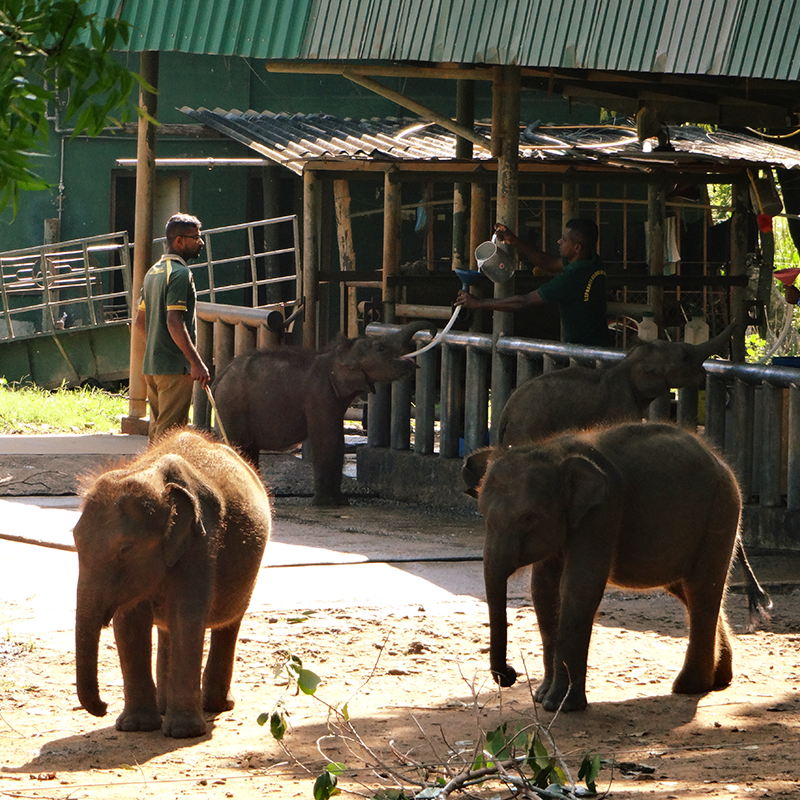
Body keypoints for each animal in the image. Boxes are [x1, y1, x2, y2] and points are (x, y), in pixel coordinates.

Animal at [73, 429, 271, 739]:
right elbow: (129, 624)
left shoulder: (201, 544)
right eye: (74, 540)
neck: (150, 474)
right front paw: (135, 727)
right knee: (166, 628)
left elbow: (186, 618)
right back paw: (164, 707)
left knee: (229, 623)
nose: (103, 707)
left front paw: (183, 732)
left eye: (125, 549)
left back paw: (215, 706)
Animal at [210, 320, 435, 506]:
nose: (433, 331)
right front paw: (331, 504)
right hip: (232, 406)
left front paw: (341, 502)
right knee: (241, 447)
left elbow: (337, 441)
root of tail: (217, 377)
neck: (337, 356)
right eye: (381, 348)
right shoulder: (320, 396)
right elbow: (329, 439)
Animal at [463, 422, 766, 712]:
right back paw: (718, 679)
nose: (510, 673)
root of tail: (721, 461)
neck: (553, 451)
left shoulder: (603, 512)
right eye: (483, 513)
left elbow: (579, 586)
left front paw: (559, 706)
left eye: (528, 518)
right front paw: (541, 698)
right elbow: (543, 591)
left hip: (721, 512)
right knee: (689, 591)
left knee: (701, 589)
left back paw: (689, 687)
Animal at [497, 322, 736, 445]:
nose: (735, 321)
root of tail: (506, 413)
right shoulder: (621, 407)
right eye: (685, 356)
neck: (627, 364)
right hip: (529, 428)